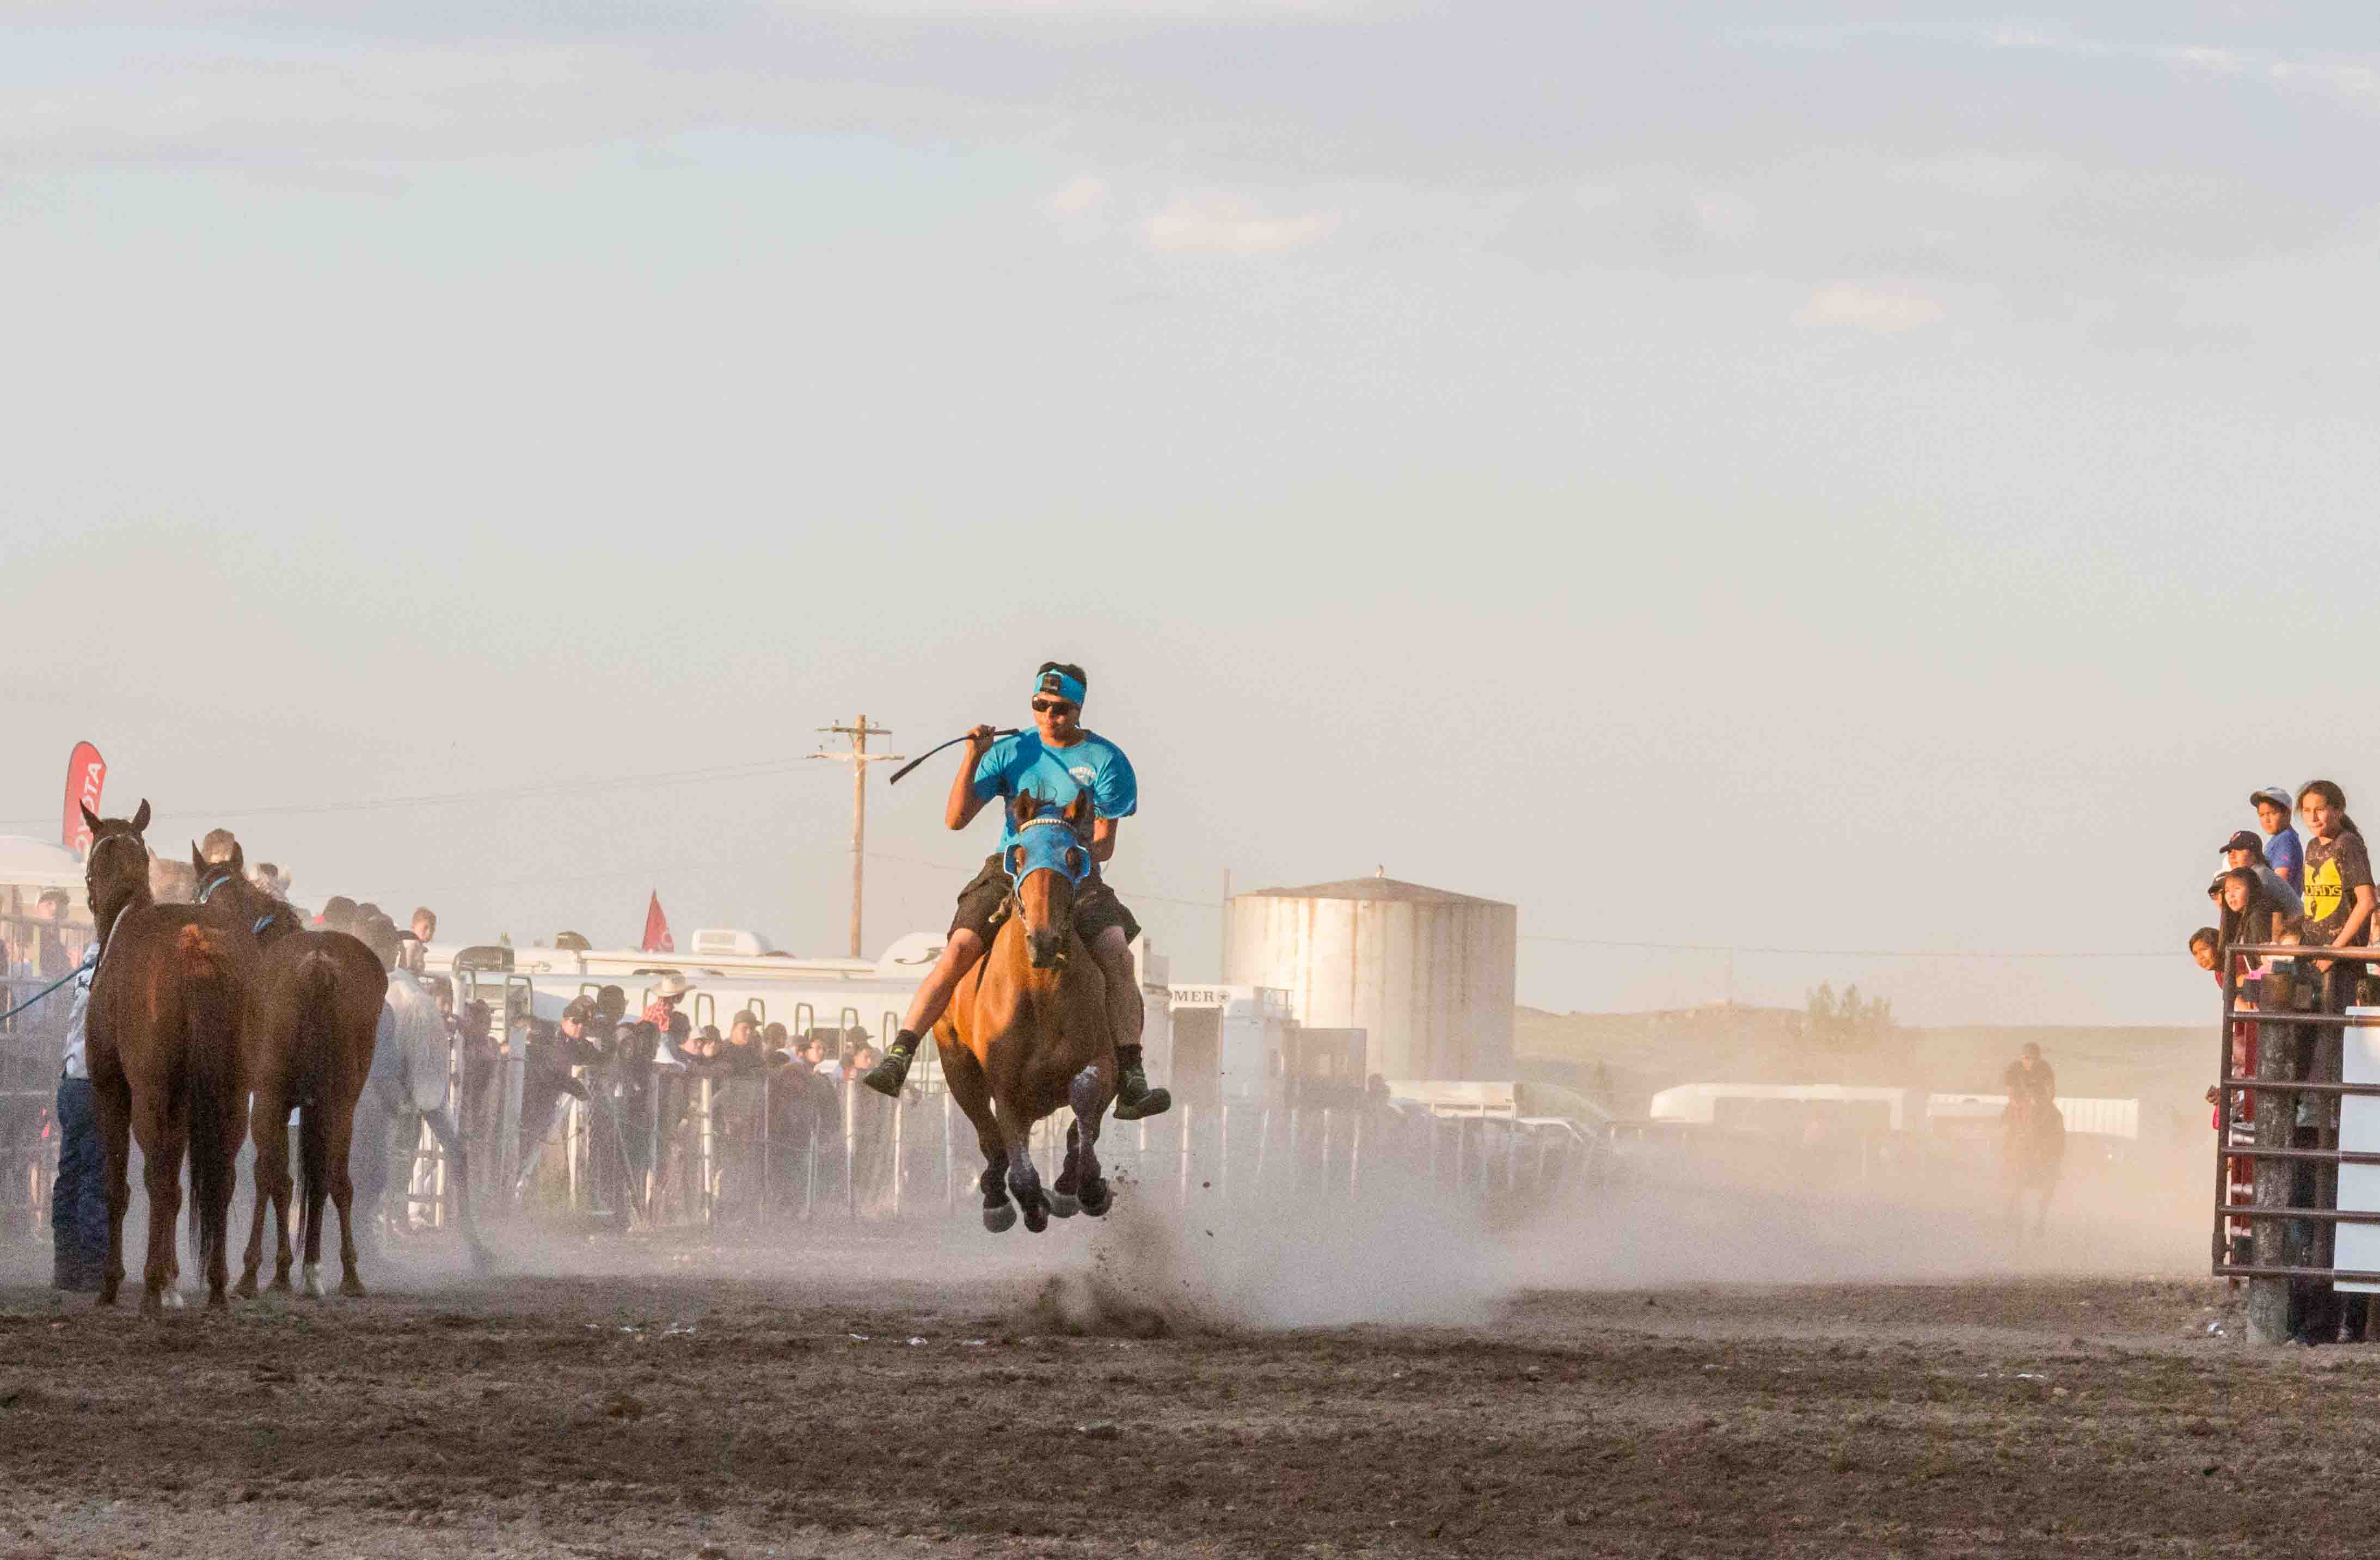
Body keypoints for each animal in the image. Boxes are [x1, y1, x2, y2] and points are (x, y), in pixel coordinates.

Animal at [79, 799, 258, 1312]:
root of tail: (195, 947)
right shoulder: (184, 1102)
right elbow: (181, 1190)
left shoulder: (113, 1091)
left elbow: (119, 1186)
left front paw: (115, 1282)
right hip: (231, 1096)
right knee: (221, 1179)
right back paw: (215, 1285)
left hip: (150, 1097)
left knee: (155, 1177)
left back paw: (150, 1287)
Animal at [190, 846, 388, 1293]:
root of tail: (317, 965)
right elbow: (313, 1180)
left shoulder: (266, 1101)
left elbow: (270, 1177)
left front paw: (266, 1268)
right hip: (340, 1104)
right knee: (336, 1179)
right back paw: (343, 1273)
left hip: (271, 1100)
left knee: (274, 1177)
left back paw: (260, 1272)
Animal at [933, 799, 1118, 1236]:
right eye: (1017, 857)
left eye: (1074, 857)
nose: (1045, 939)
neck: (1041, 994)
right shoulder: (1005, 1085)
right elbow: (1018, 1166)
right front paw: (1030, 1204)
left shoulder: (1104, 1059)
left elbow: (1086, 1098)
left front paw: (1084, 1186)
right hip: (956, 1065)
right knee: (989, 1138)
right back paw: (997, 1200)